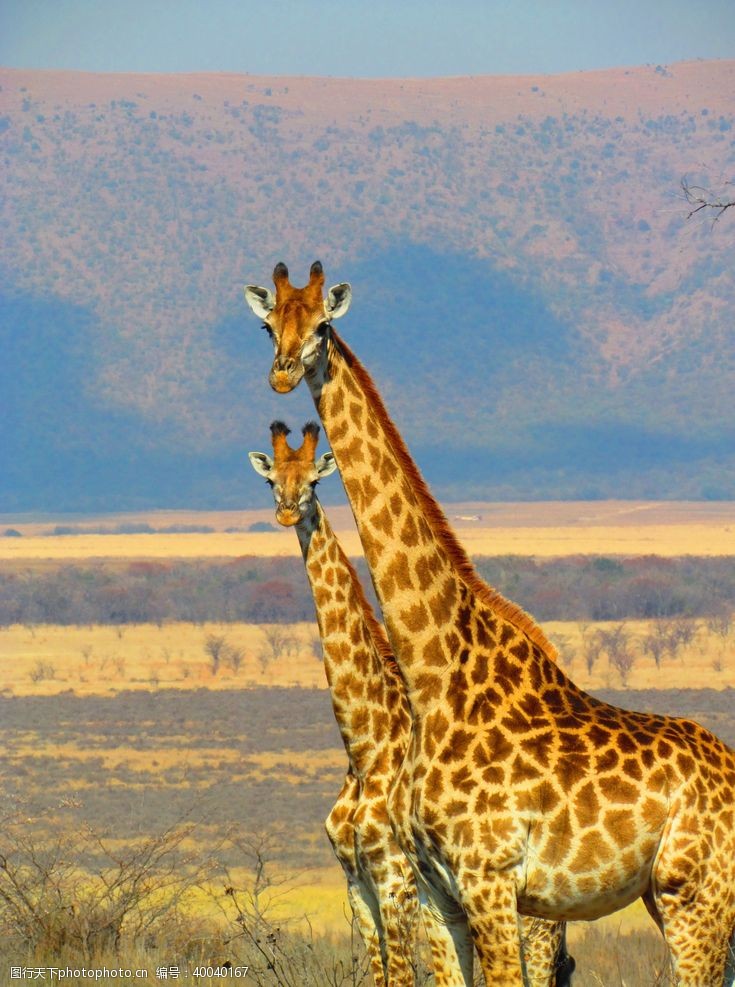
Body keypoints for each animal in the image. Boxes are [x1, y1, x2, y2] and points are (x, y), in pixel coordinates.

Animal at [247, 420, 576, 984]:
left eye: (313, 481)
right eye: (273, 481)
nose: (288, 511)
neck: (364, 746)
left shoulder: (396, 879)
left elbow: (404, 976)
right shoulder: (356, 883)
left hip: (533, 915)